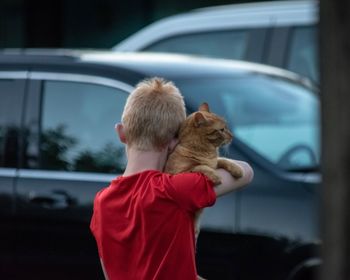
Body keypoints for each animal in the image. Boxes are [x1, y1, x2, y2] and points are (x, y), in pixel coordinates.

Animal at [165, 103, 243, 241]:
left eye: (226, 127)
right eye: (222, 130)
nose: (232, 136)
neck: (206, 152)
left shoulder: (215, 162)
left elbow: (222, 160)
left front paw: (237, 169)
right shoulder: (176, 173)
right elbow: (199, 166)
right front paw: (215, 176)